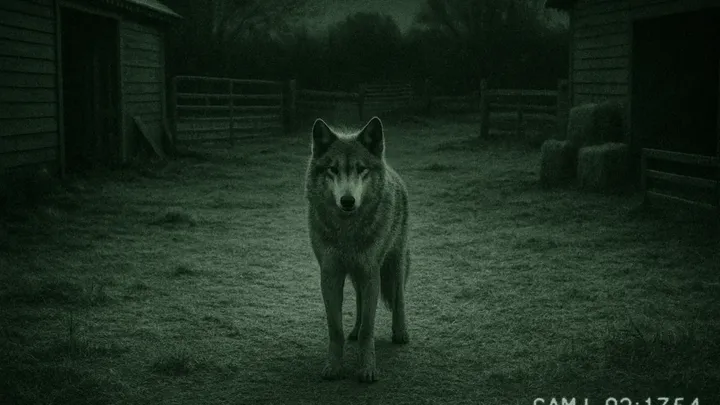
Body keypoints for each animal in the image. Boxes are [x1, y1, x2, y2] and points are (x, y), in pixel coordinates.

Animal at [305, 116, 410, 383]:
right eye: (333, 169)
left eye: (361, 169)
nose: (347, 201)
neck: (347, 233)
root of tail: (393, 172)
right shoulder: (330, 275)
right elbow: (336, 329)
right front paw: (334, 367)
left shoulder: (371, 272)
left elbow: (368, 330)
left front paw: (367, 369)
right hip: (357, 276)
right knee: (361, 303)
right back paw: (353, 330)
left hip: (393, 265)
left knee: (399, 298)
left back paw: (400, 333)